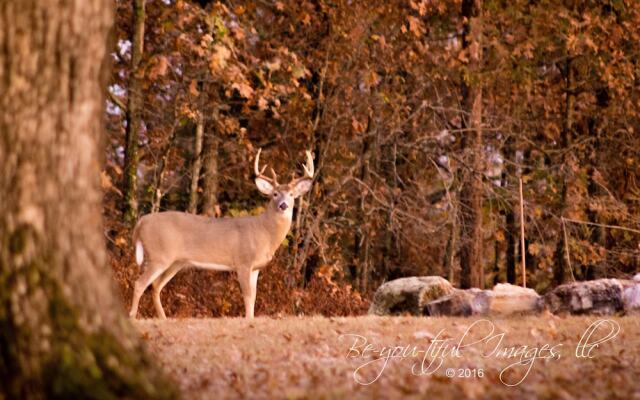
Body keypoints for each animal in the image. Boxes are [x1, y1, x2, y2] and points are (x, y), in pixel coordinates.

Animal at [129, 148, 314, 320]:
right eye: (275, 194)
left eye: (292, 194)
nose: (283, 205)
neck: (264, 232)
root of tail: (141, 223)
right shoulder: (243, 261)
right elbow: (247, 296)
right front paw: (248, 320)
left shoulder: (256, 268)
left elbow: (254, 297)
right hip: (159, 255)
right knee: (140, 283)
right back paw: (132, 316)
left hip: (175, 262)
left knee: (155, 286)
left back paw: (163, 318)